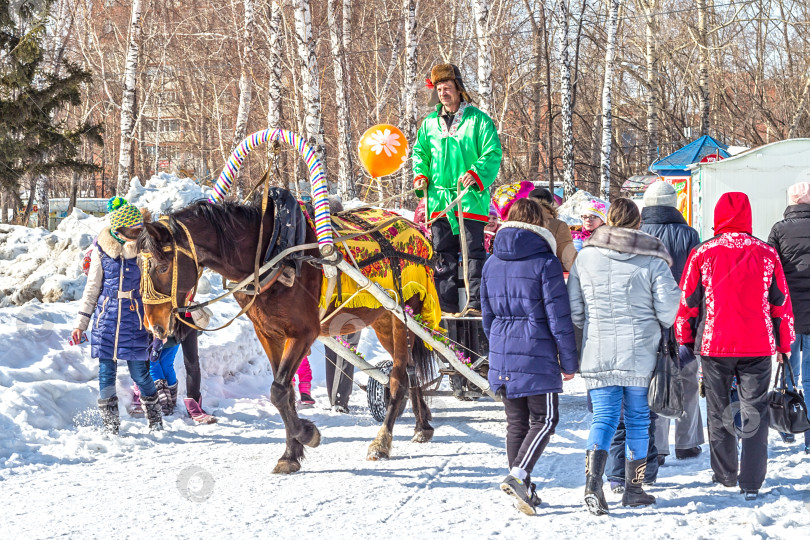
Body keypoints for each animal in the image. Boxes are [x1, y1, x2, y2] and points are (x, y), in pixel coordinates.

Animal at [118, 198, 436, 472]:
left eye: (162, 266)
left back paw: (382, 442)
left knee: (398, 379)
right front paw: (291, 454)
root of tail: (417, 232)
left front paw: (307, 434)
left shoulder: (303, 332)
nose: (154, 326)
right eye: (137, 267)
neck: (270, 254)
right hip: (384, 320)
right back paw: (422, 426)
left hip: (402, 317)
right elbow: (285, 394)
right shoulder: (269, 335)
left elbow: (279, 391)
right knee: (411, 372)